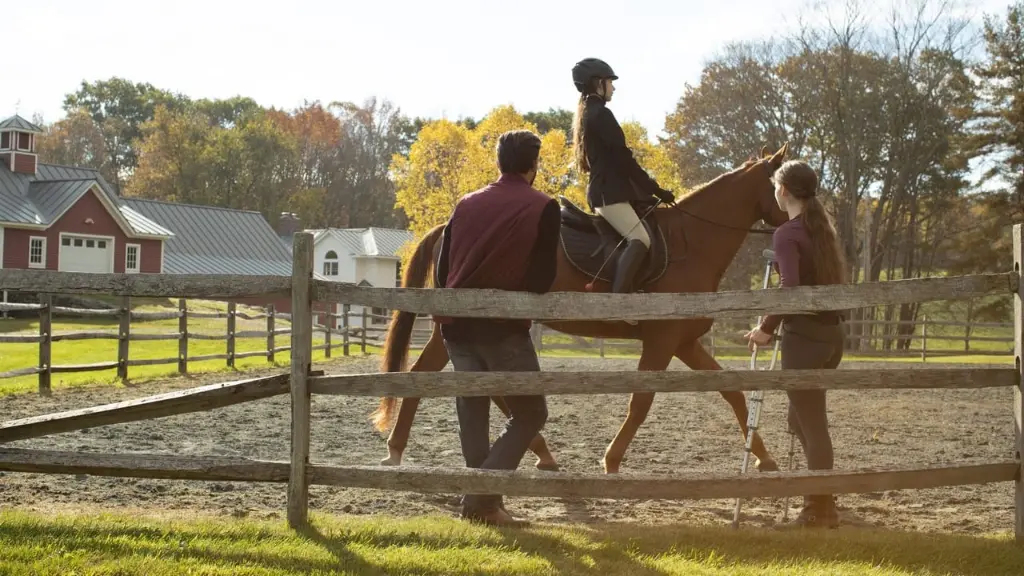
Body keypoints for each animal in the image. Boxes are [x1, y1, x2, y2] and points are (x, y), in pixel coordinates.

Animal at [368, 142, 790, 471]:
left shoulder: (683, 341)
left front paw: (765, 458)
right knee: (441, 378)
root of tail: (448, 225)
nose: (793, 223)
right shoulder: (662, 340)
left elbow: (733, 392)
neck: (692, 242)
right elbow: (641, 402)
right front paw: (611, 460)